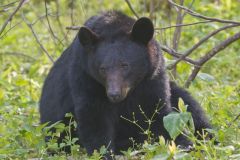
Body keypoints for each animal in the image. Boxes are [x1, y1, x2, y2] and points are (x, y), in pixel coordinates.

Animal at [39, 10, 212, 158]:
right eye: (102, 69)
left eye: (125, 65)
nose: (114, 94)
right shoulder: (85, 77)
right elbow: (94, 118)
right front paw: (104, 153)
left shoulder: (152, 77)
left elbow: (159, 113)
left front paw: (184, 144)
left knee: (189, 106)